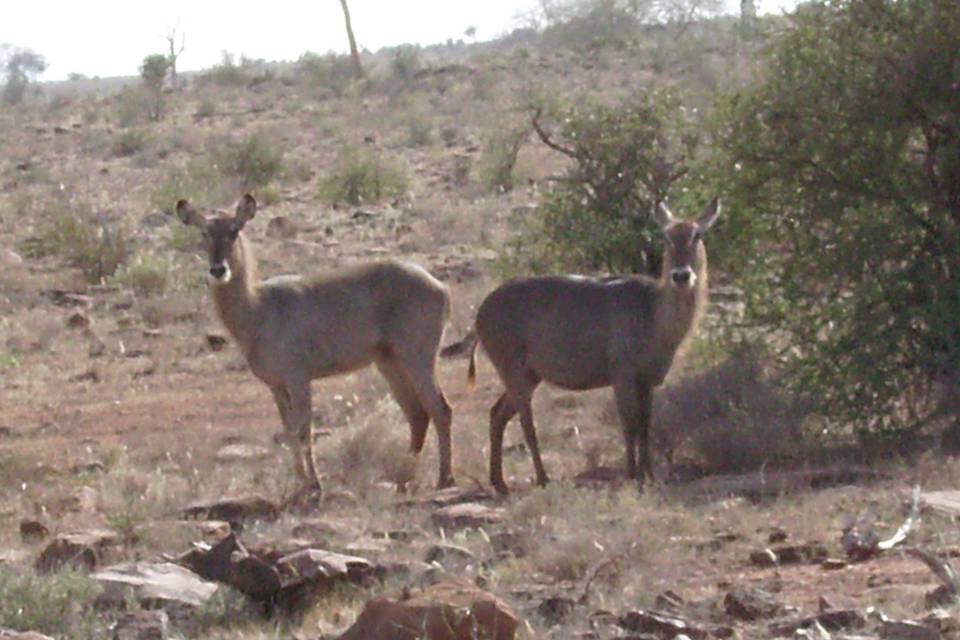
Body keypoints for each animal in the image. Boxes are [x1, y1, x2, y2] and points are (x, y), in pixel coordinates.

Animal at [177, 195, 458, 496]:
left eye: (234, 230)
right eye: (204, 233)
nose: (218, 270)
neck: (258, 309)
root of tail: (441, 287)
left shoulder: (298, 377)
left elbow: (303, 429)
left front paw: (314, 484)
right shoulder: (276, 385)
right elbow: (288, 430)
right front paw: (301, 483)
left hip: (418, 357)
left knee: (440, 408)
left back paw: (444, 479)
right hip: (390, 363)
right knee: (417, 414)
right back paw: (404, 478)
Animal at [450, 198, 720, 492]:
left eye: (697, 235)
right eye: (667, 236)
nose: (681, 276)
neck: (654, 313)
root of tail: (480, 312)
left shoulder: (647, 380)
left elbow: (646, 426)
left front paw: (648, 475)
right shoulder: (622, 375)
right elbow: (629, 425)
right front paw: (632, 475)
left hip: (529, 376)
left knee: (497, 414)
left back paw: (500, 483)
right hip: (514, 372)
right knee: (525, 423)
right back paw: (542, 479)